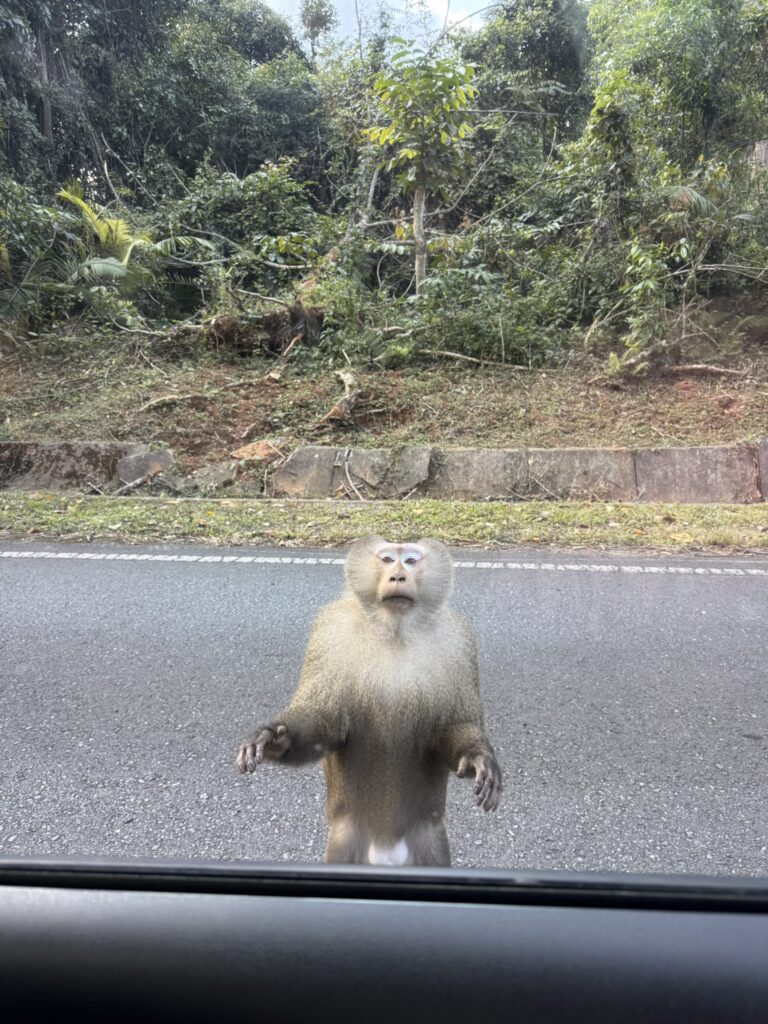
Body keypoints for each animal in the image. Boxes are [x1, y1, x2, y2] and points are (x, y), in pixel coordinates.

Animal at [236, 535, 502, 867]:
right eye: (387, 559)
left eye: (411, 561)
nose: (398, 576)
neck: (395, 631)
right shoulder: (329, 633)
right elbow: (326, 721)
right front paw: (275, 739)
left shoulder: (458, 641)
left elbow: (452, 724)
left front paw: (479, 757)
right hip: (346, 841)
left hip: (428, 843)